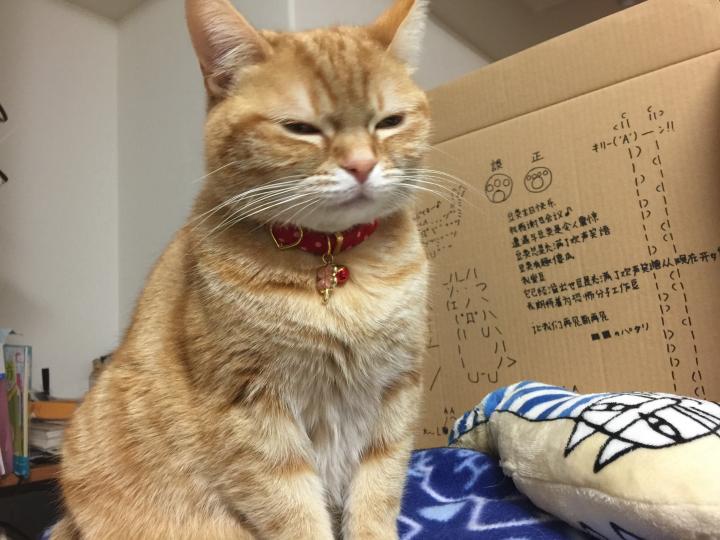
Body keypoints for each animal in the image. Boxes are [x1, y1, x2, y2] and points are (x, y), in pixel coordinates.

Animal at [54, 0, 432, 538]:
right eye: (300, 128)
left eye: (390, 121)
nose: (362, 165)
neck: (331, 259)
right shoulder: (251, 407)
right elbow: (295, 511)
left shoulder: (396, 394)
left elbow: (377, 496)